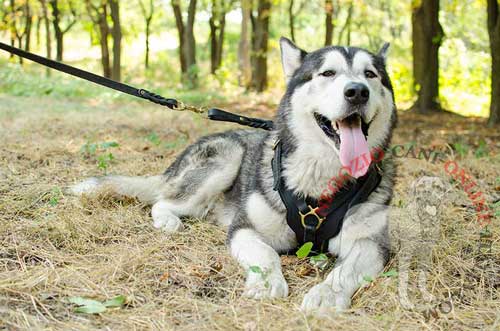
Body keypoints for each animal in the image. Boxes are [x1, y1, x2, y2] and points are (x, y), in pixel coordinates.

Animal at [71, 37, 398, 312]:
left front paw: (326, 295)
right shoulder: (245, 228)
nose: (357, 91)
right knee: (164, 201)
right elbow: (265, 255)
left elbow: (346, 270)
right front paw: (266, 283)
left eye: (370, 75)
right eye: (328, 73)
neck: (320, 180)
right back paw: (168, 220)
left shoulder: (371, 243)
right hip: (226, 157)